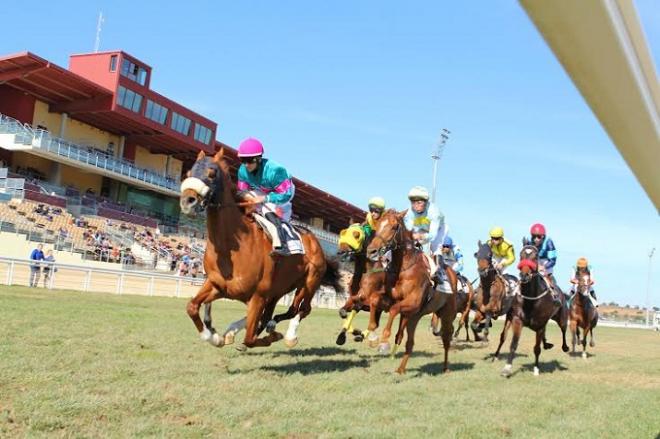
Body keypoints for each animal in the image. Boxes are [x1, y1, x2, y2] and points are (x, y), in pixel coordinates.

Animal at [180, 151, 346, 350]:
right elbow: (191, 306)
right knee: (273, 314)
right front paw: (213, 336)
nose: (187, 201)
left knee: (301, 309)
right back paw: (242, 329)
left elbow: (250, 338)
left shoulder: (258, 295)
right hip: (280, 288)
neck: (232, 248)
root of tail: (315, 241)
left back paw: (288, 334)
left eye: (212, 173)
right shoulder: (217, 285)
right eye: (188, 172)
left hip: (309, 282)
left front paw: (272, 337)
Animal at [364, 210, 456, 374]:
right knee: (410, 342)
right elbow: (374, 298)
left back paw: (446, 368)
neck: (404, 267)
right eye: (378, 224)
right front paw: (372, 334)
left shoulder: (412, 302)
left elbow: (394, 309)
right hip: (415, 317)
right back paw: (400, 369)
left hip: (446, 315)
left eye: (394, 227)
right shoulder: (393, 298)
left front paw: (384, 341)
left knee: (446, 338)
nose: (371, 251)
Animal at [498, 244, 568, 378]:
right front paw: (507, 369)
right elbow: (513, 344)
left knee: (563, 330)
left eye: (535, 257)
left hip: (562, 318)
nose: (524, 275)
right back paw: (547, 344)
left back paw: (565, 347)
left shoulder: (540, 325)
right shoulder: (517, 320)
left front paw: (536, 369)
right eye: (521, 255)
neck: (531, 299)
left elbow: (536, 348)